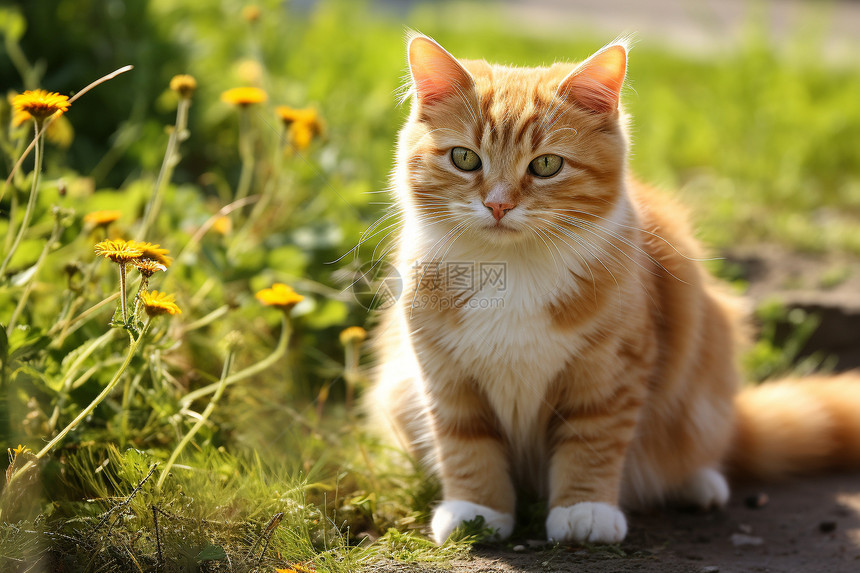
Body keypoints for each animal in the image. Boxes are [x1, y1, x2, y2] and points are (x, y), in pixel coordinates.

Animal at [368, 33, 860, 544]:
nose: (498, 205)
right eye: (464, 158)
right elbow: (465, 445)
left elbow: (592, 442)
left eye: (546, 165)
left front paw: (584, 511)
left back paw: (698, 483)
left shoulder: (611, 371)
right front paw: (476, 513)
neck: (513, 268)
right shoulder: (443, 373)